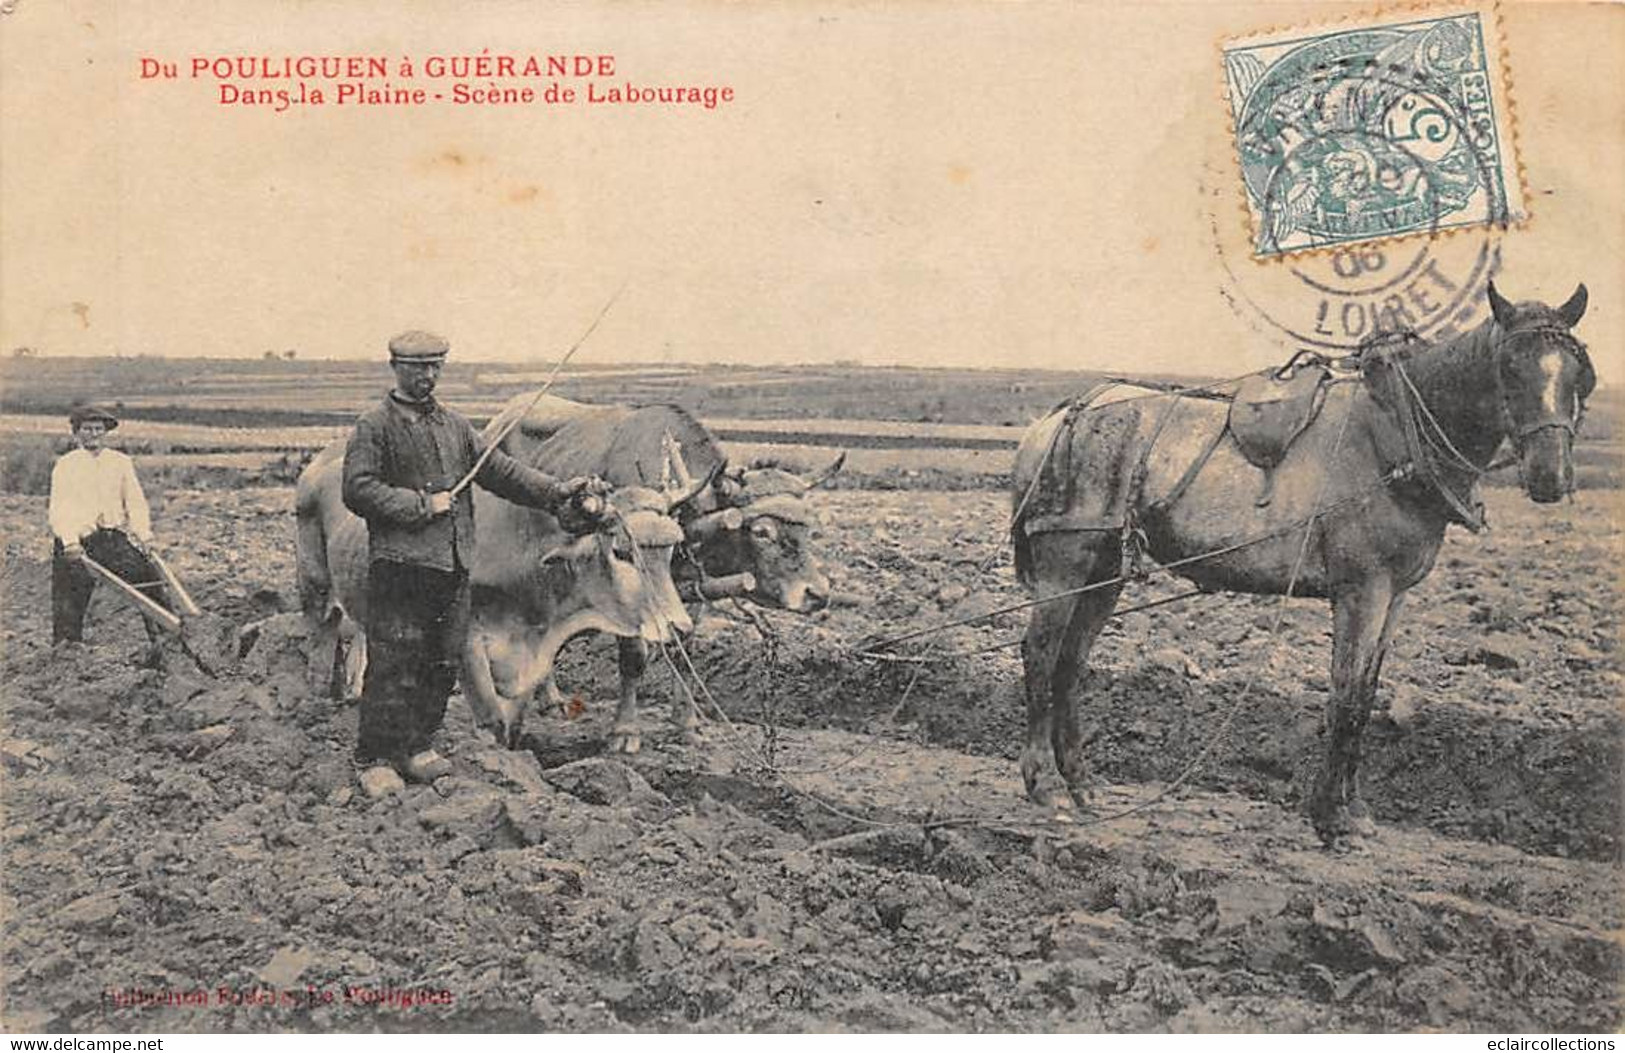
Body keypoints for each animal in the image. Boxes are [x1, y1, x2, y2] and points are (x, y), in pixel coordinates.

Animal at [1007, 281, 1592, 845]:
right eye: (1509, 366)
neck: (1395, 437)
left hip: (1105, 570)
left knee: (1071, 662)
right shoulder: (1362, 590)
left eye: (1576, 372)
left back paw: (1081, 783)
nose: (1551, 477)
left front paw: (1356, 811)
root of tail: (1059, 418)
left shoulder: (1396, 595)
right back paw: (1046, 786)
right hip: (1066, 561)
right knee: (1041, 653)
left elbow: (1368, 694)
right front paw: (1331, 817)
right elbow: (1346, 695)